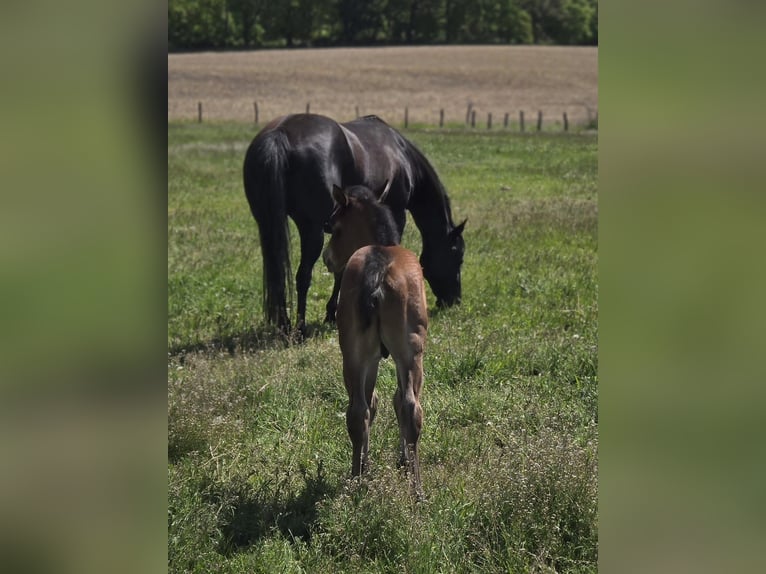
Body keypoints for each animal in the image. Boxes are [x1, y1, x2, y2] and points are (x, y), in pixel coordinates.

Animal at [243, 113, 465, 336]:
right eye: (458, 256)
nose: (454, 300)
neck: (402, 155)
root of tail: (280, 133)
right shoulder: (395, 214)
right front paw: (333, 313)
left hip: (268, 226)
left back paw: (284, 324)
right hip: (312, 231)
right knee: (303, 276)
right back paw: (299, 327)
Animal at [322, 182, 428, 498]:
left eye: (333, 226)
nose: (327, 259)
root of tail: (378, 267)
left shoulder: (371, 357)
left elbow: (374, 401)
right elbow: (394, 399)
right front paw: (403, 460)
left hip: (353, 353)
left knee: (358, 411)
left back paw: (356, 478)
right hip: (410, 351)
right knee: (409, 407)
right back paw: (416, 489)